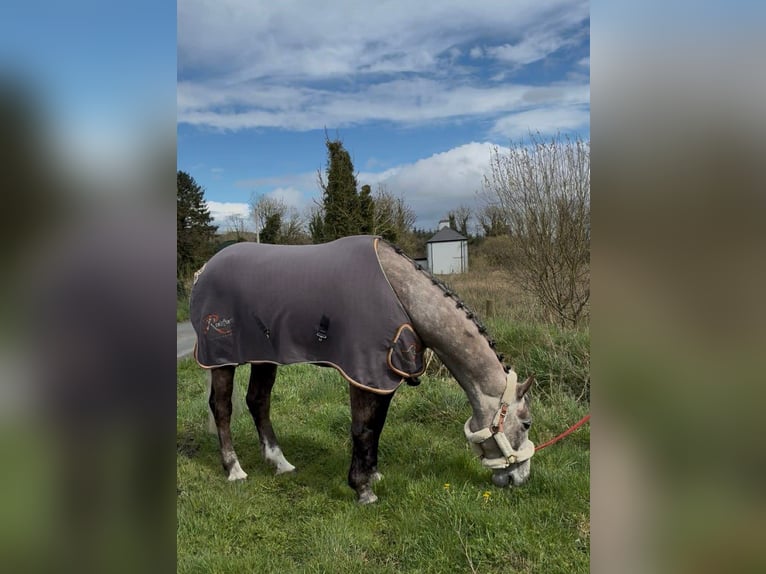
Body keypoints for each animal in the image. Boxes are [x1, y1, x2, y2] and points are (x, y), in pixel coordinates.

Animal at [190, 235, 535, 504]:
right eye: (527, 423)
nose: (520, 478)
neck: (400, 294)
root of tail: (204, 270)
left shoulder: (384, 378)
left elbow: (376, 426)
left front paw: (373, 475)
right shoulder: (364, 372)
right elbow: (362, 428)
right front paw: (362, 489)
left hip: (264, 356)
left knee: (258, 402)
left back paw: (281, 463)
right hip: (221, 359)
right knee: (222, 408)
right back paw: (234, 469)